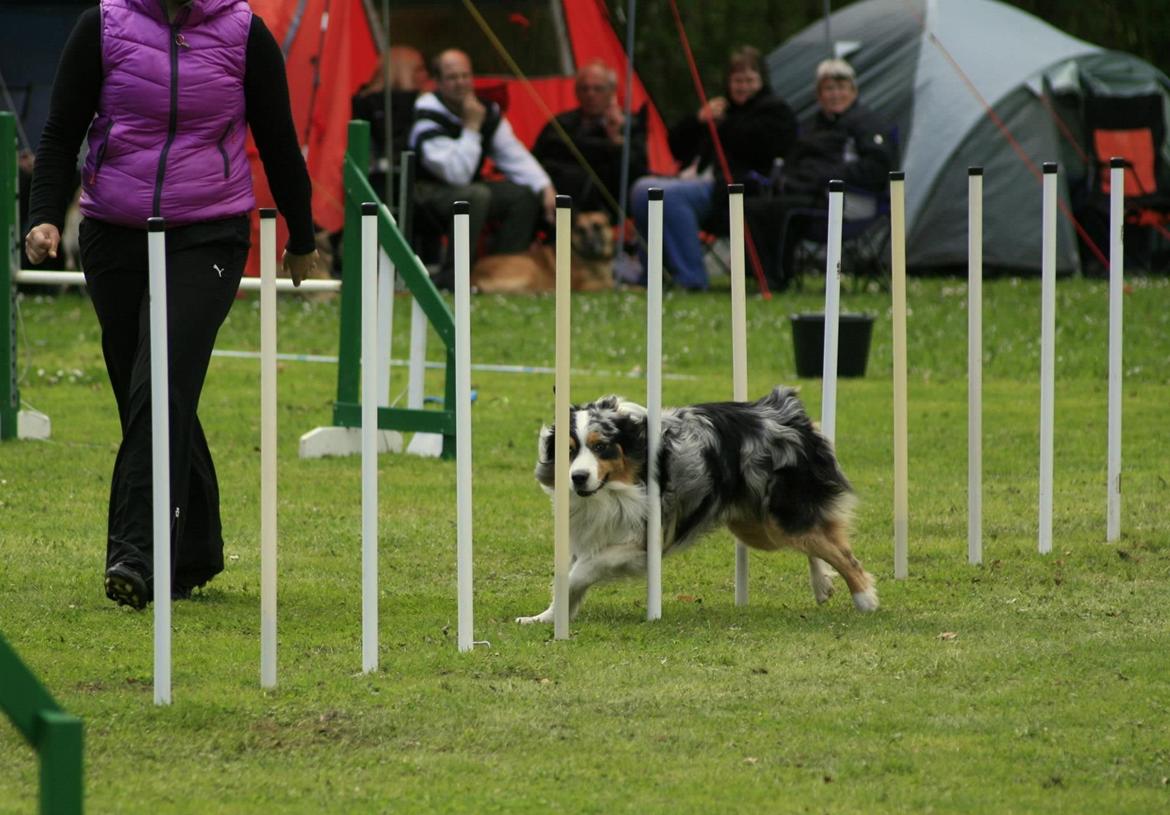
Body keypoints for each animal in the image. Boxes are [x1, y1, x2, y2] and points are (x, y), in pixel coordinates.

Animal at [470, 211, 617, 293]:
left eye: (598, 227)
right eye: (581, 230)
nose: (591, 245)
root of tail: (474, 275)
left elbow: (610, 282)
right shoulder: (580, 286)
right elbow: (610, 285)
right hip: (529, 267)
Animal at [517, 388, 875, 622]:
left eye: (601, 446)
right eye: (569, 450)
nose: (578, 478)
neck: (614, 490)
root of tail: (784, 411)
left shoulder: (643, 542)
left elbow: (579, 572)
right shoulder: (586, 532)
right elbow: (569, 577)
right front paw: (546, 618)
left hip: (780, 515)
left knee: (841, 551)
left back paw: (865, 599)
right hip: (757, 527)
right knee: (819, 540)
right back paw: (822, 584)